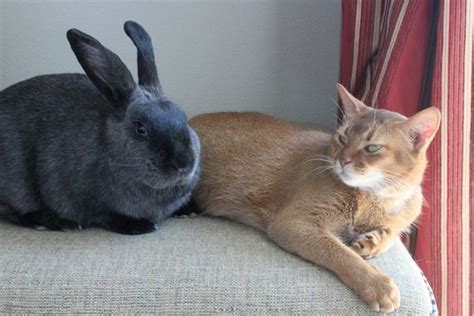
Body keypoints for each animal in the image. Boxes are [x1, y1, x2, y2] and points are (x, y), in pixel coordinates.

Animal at [0, 21, 201, 233]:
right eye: (140, 128)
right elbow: (106, 216)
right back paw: (57, 222)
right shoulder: (88, 202)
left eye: (183, 118)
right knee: (16, 212)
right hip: (17, 182)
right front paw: (140, 226)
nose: (183, 162)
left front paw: (189, 210)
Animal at [189, 84, 440, 314]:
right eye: (342, 137)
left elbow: (391, 234)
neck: (377, 199)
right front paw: (377, 284)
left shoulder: (398, 218)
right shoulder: (293, 224)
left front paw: (371, 242)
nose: (343, 160)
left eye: (373, 147)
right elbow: (340, 252)